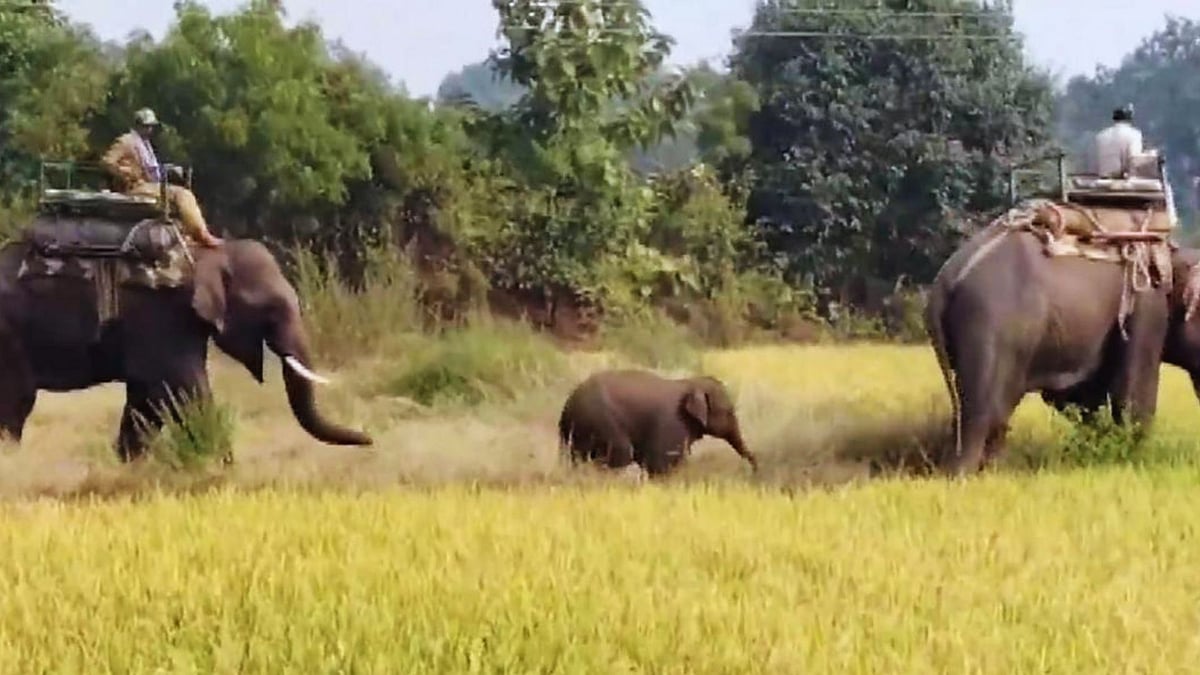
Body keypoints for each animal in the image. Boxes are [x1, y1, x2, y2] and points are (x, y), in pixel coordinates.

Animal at [0, 235, 373, 460]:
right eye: (270, 310)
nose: (370, 440)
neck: (210, 251)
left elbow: (146, 399)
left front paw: (130, 466)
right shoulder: (163, 316)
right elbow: (185, 390)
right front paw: (222, 467)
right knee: (17, 402)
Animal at [557, 368, 757, 477]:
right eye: (729, 411)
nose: (755, 469)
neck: (690, 382)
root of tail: (567, 406)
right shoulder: (673, 422)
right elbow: (662, 463)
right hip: (601, 422)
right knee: (620, 454)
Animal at [924, 206, 1200, 475]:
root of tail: (944, 282)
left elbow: (1083, 396)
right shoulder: (1145, 303)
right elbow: (1133, 393)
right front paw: (1135, 459)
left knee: (989, 413)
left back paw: (990, 471)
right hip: (989, 326)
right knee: (983, 411)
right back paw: (962, 476)